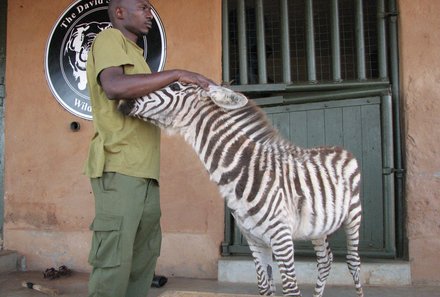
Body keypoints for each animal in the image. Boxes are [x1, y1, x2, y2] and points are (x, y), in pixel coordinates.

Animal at [117, 81, 364, 296]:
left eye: (176, 86)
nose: (123, 103)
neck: (242, 171)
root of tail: (340, 148)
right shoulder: (255, 240)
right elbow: (265, 288)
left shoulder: (281, 238)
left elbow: (291, 289)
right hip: (318, 227)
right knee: (325, 261)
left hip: (353, 216)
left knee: (353, 262)